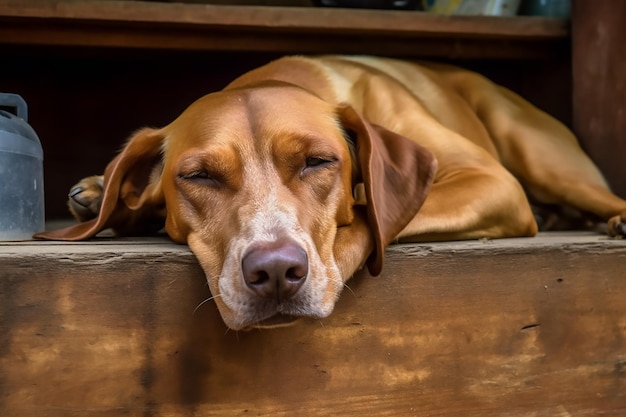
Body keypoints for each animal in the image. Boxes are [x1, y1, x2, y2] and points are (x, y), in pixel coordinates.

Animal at [36, 54, 624, 328]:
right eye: (199, 176)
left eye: (319, 162)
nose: (276, 272)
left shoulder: (490, 180)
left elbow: (368, 210)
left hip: (534, 155)